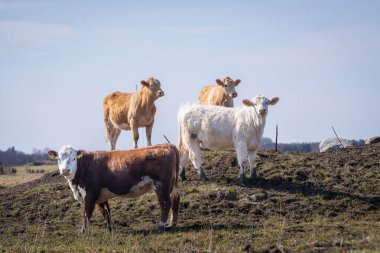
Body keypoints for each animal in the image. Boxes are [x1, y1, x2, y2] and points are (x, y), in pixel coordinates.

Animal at [47, 143, 180, 232]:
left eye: (74, 158)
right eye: (58, 158)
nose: (65, 170)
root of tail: (167, 145)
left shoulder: (89, 194)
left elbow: (86, 213)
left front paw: (83, 232)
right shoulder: (101, 196)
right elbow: (106, 212)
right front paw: (110, 229)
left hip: (161, 185)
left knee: (165, 203)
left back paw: (161, 225)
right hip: (172, 184)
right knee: (175, 200)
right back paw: (172, 223)